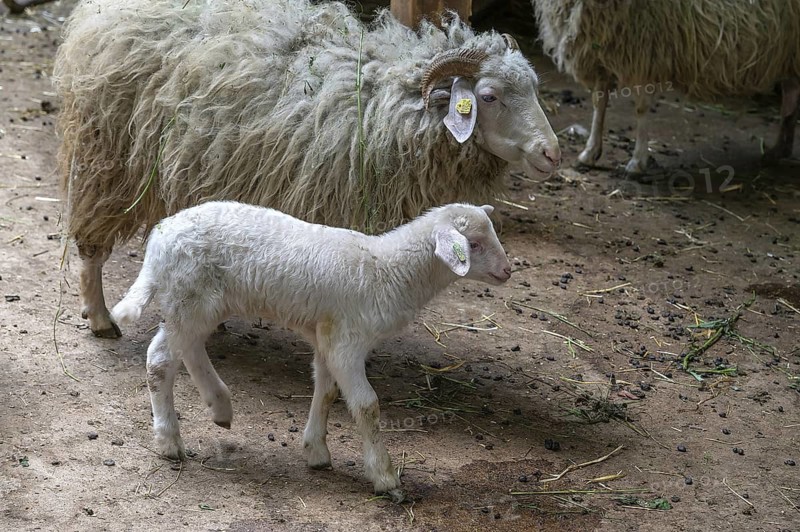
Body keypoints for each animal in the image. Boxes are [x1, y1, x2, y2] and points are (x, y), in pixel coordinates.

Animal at [54, 0, 561, 338]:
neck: (381, 106)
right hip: (107, 158)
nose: (552, 153)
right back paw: (99, 318)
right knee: (91, 246)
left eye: (536, 87)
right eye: (489, 96)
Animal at [111, 200, 512, 501]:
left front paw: (316, 451)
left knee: (190, 348)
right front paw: (384, 475)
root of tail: (159, 237)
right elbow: (367, 405)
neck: (388, 270)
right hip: (188, 296)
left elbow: (327, 390)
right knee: (161, 359)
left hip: (200, 303)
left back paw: (219, 405)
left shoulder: (328, 338)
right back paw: (169, 440)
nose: (508, 271)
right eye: (474, 244)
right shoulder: (348, 343)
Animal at [532, 0, 800, 175]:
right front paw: (590, 153)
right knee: (791, 99)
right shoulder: (602, 53)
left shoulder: (645, 52)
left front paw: (637, 162)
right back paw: (780, 149)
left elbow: (640, 109)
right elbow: (599, 103)